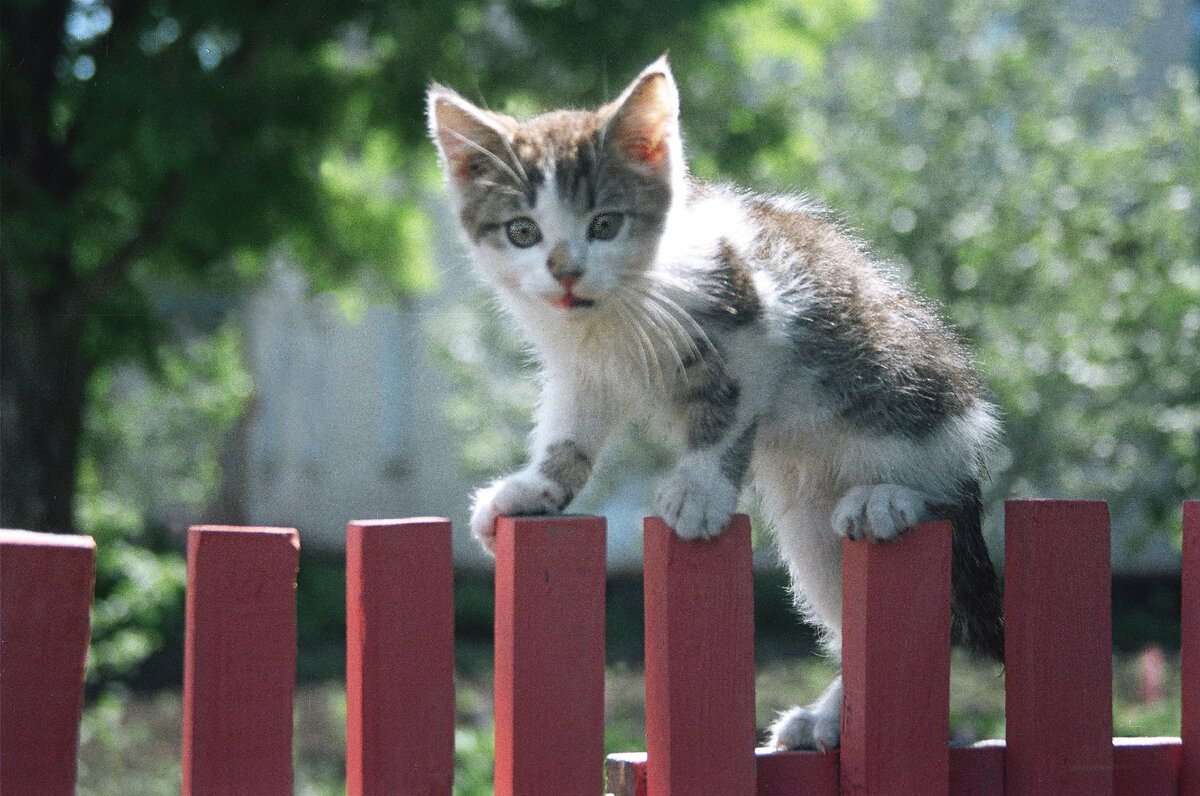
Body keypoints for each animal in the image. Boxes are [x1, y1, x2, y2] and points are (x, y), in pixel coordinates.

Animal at [424, 59, 1003, 749]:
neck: (620, 304)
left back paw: (891, 497)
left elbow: (726, 416)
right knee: (849, 610)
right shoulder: (583, 369)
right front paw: (536, 486)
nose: (565, 273)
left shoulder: (755, 323)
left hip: (907, 398)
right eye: (522, 233)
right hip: (809, 518)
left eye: (604, 224)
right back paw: (828, 717)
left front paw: (699, 491)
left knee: (927, 504)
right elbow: (571, 429)